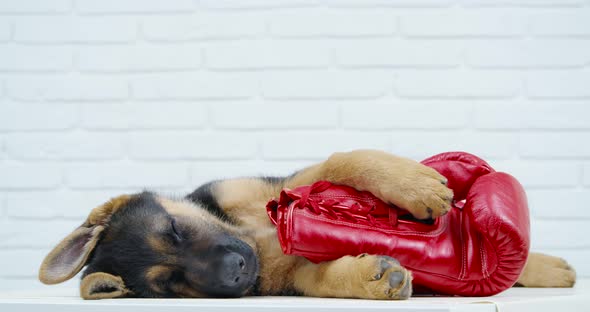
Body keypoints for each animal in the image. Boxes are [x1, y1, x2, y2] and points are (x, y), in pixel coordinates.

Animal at [38, 151, 580, 300]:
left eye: (173, 228)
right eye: (170, 283)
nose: (237, 270)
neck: (252, 237)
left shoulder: (283, 186)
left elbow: (345, 159)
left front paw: (412, 185)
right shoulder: (295, 278)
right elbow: (325, 277)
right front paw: (373, 277)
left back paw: (546, 267)